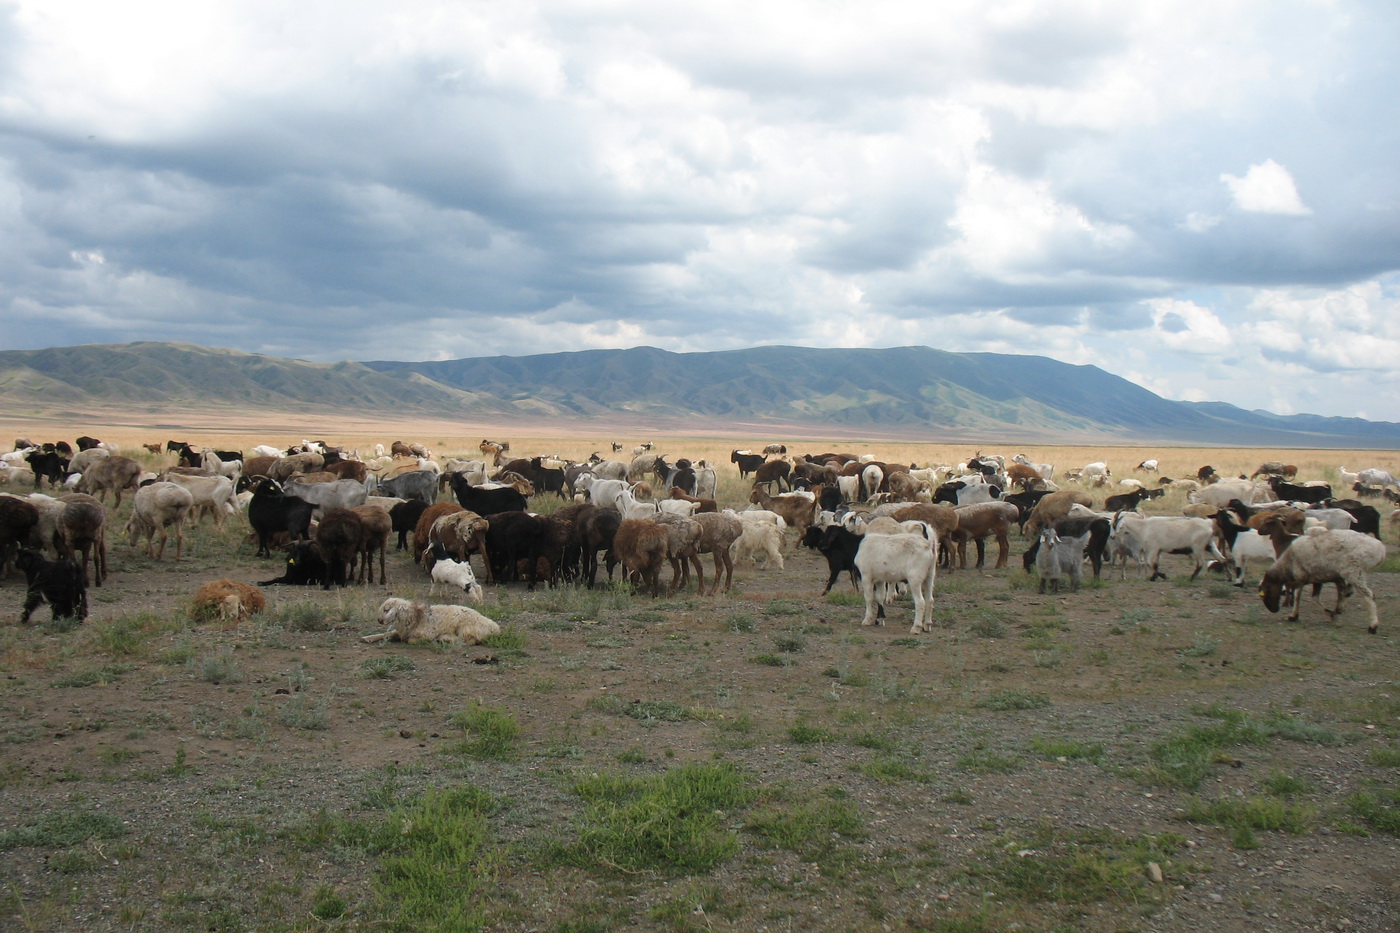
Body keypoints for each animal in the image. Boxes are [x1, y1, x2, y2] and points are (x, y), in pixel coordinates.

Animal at [366, 591, 504, 644]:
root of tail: (495, 628)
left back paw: (444, 638)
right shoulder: (402, 631)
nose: (379, 620)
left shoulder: (426, 633)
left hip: (466, 628)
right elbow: (386, 634)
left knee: (468, 640)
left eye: (386, 610)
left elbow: (410, 640)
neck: (416, 617)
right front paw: (367, 638)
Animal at [1260, 523, 1388, 633]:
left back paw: (1373, 626)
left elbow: (1298, 596)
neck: (1286, 564)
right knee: (1351, 591)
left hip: (1354, 572)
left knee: (1369, 596)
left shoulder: (1300, 577)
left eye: (1264, 593)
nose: (1273, 610)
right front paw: (1334, 612)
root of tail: (1381, 550)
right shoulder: (1323, 578)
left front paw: (1293, 616)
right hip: (1356, 573)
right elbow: (1321, 597)